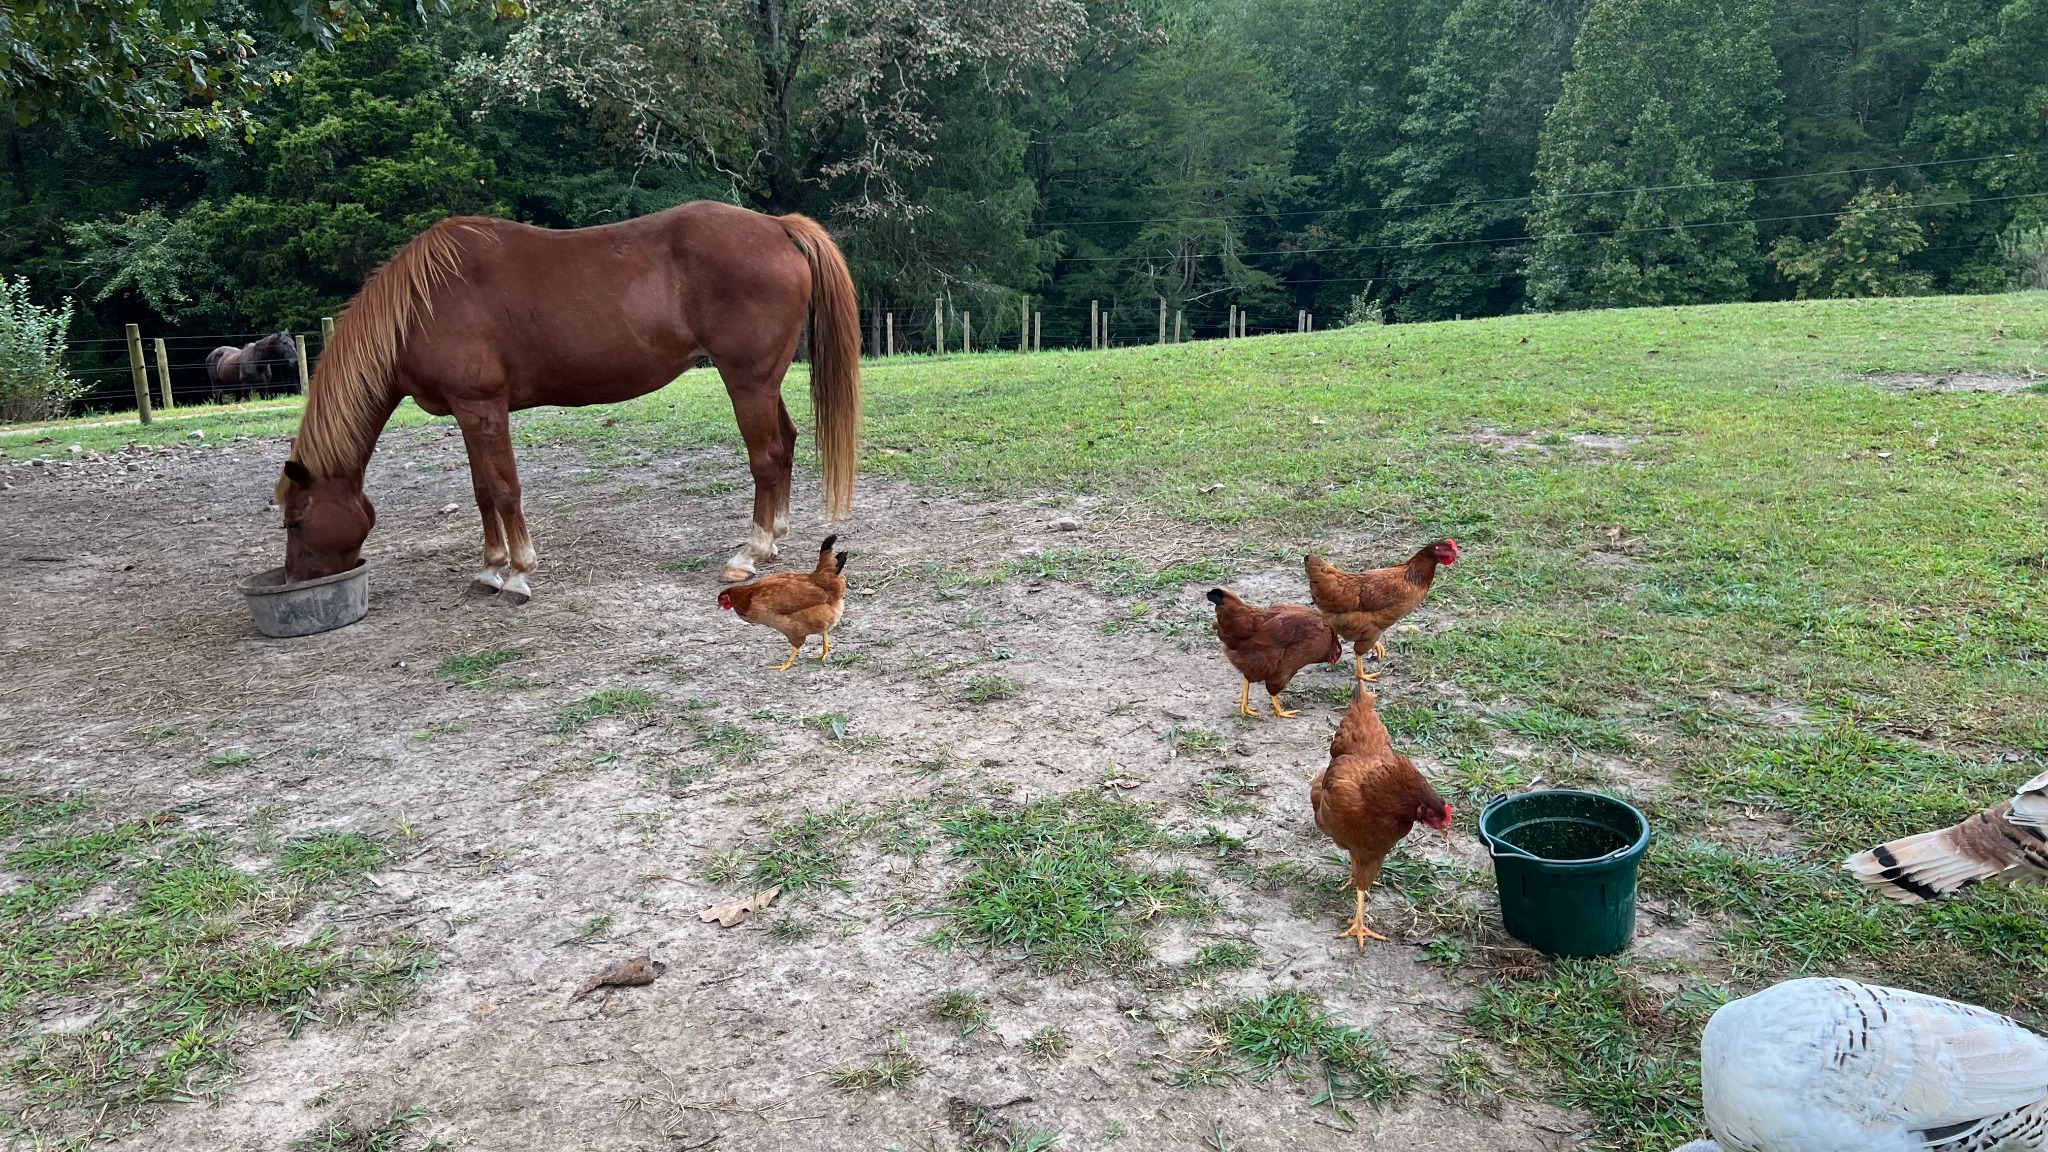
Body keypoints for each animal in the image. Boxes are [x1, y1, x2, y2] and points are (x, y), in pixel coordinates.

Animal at [273, 201, 861, 600]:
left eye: (296, 522)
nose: (300, 578)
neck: (422, 304)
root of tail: (775, 225)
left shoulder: (483, 407)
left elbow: (505, 490)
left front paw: (518, 572)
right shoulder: (467, 413)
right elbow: (482, 491)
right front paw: (489, 568)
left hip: (747, 382)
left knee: (765, 457)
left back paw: (750, 552)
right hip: (761, 383)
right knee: (784, 447)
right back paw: (775, 539)